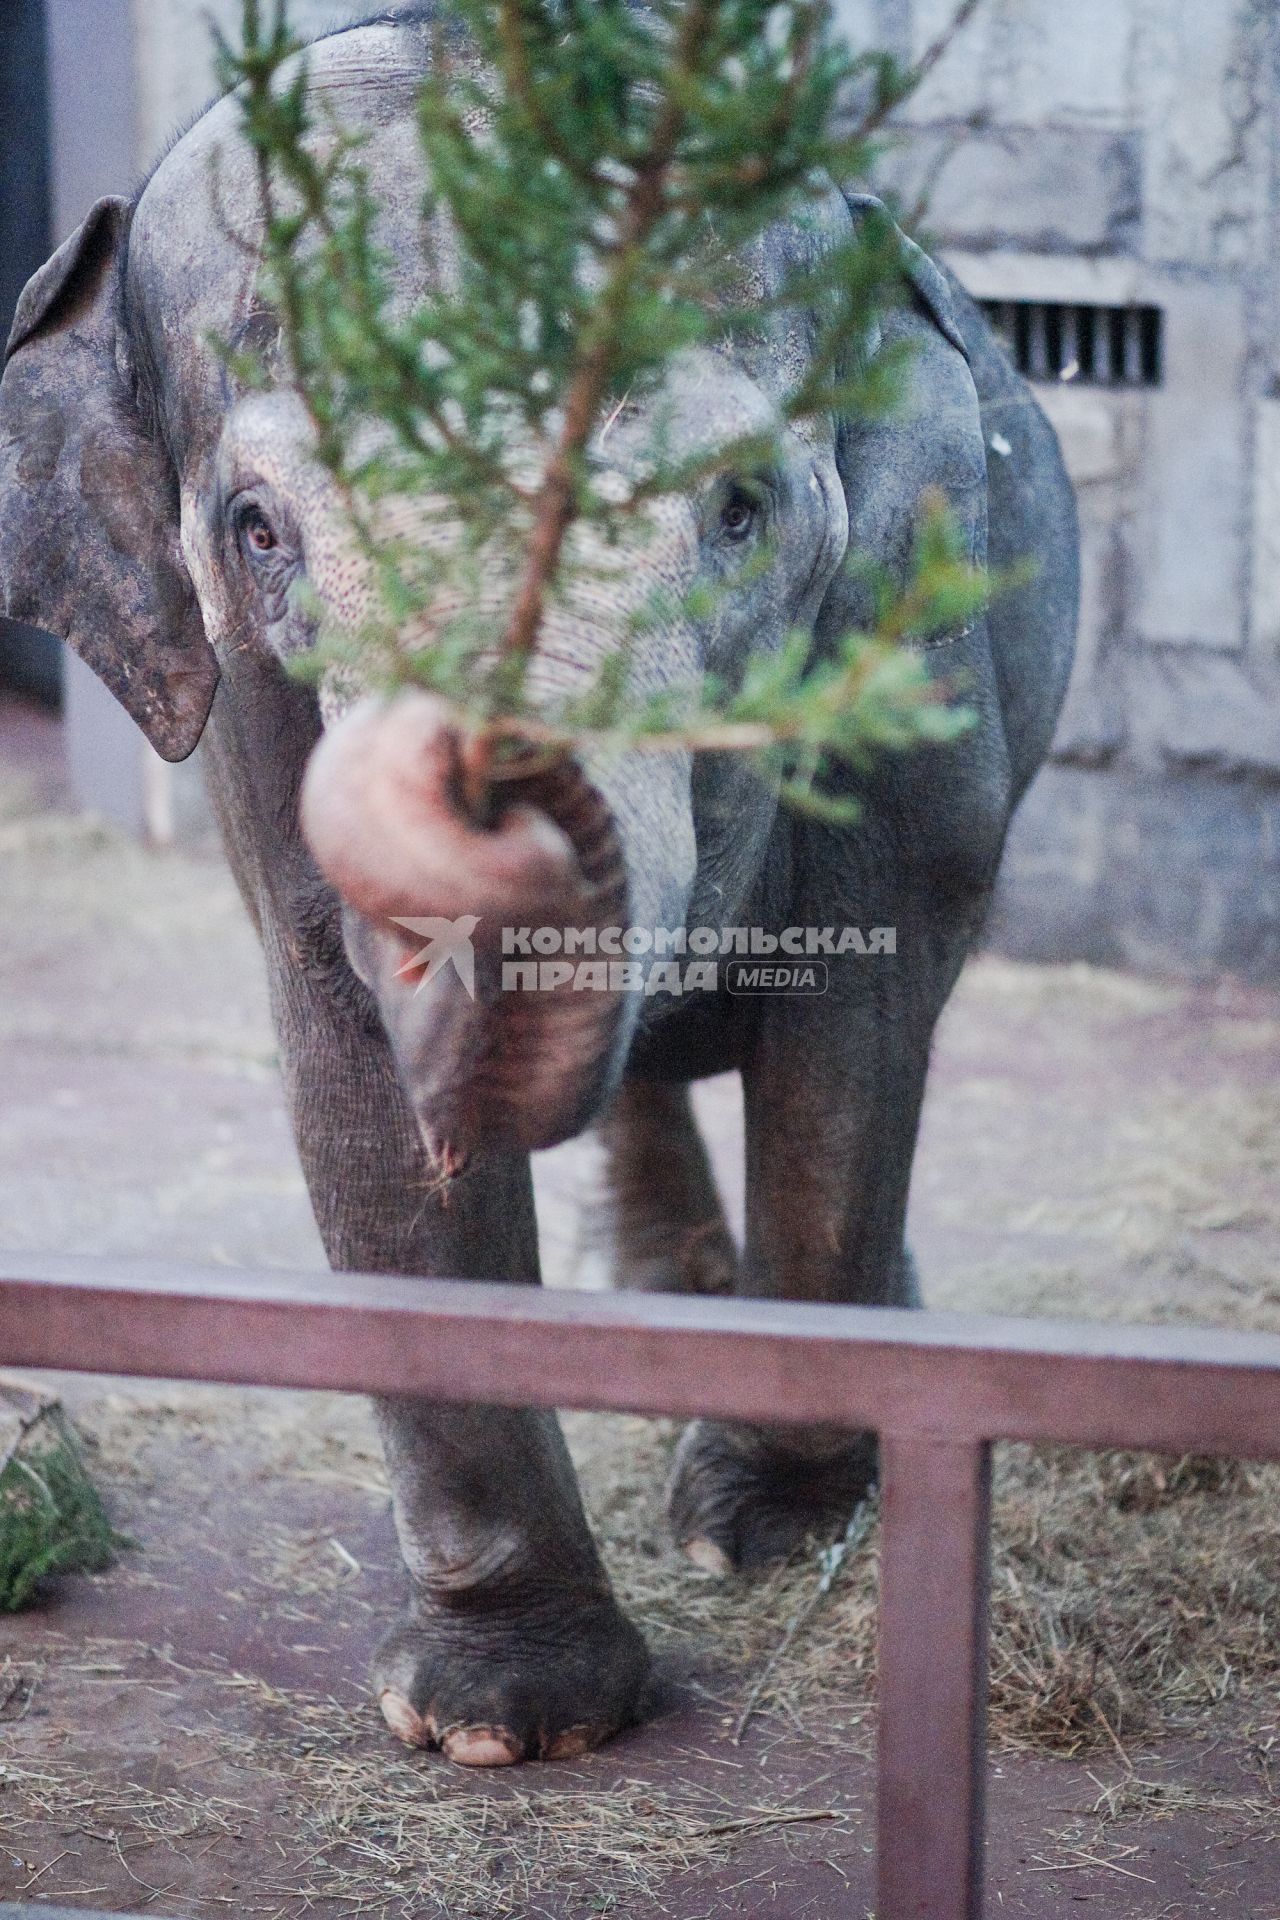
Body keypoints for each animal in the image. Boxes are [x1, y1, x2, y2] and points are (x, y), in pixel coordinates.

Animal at [0, 7, 1082, 1766]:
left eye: (738, 508)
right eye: (258, 532)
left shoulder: (908, 623)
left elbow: (849, 1029)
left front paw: (767, 1529)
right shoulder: (253, 735)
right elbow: (349, 1061)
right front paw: (503, 1720)